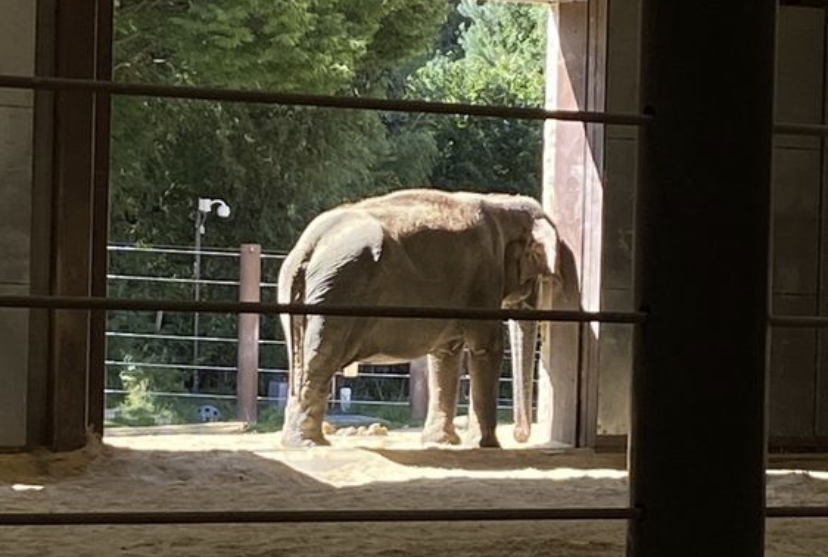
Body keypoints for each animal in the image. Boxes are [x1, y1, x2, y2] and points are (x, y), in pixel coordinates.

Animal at [274, 188, 568, 448]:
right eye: (539, 271)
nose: (521, 436)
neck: (501, 204)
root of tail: (310, 243)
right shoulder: (484, 280)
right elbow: (488, 346)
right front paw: (486, 445)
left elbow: (445, 355)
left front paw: (442, 442)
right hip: (339, 291)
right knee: (321, 361)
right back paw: (308, 444)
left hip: (304, 293)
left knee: (301, 362)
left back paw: (298, 441)